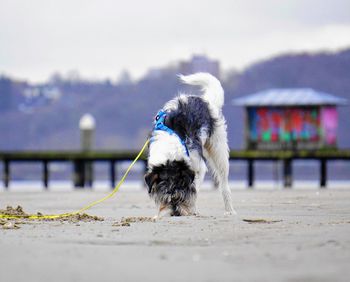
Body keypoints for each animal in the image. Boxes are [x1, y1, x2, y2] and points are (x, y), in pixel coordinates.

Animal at [144, 72, 237, 218]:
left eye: (181, 196)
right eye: (165, 197)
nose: (176, 213)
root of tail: (205, 101)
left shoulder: (197, 165)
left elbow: (194, 188)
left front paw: (191, 208)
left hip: (218, 148)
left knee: (224, 182)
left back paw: (229, 210)